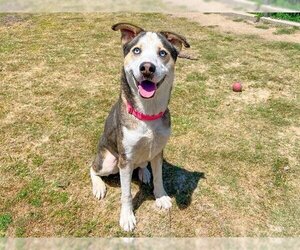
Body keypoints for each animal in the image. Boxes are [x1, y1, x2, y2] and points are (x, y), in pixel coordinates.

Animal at [89, 22, 190, 231]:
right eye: (136, 50)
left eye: (162, 53)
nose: (147, 68)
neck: (147, 113)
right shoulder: (125, 159)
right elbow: (126, 193)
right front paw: (127, 217)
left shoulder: (159, 150)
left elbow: (159, 177)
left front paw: (161, 197)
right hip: (109, 161)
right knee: (92, 168)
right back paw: (99, 186)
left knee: (143, 163)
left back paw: (144, 172)